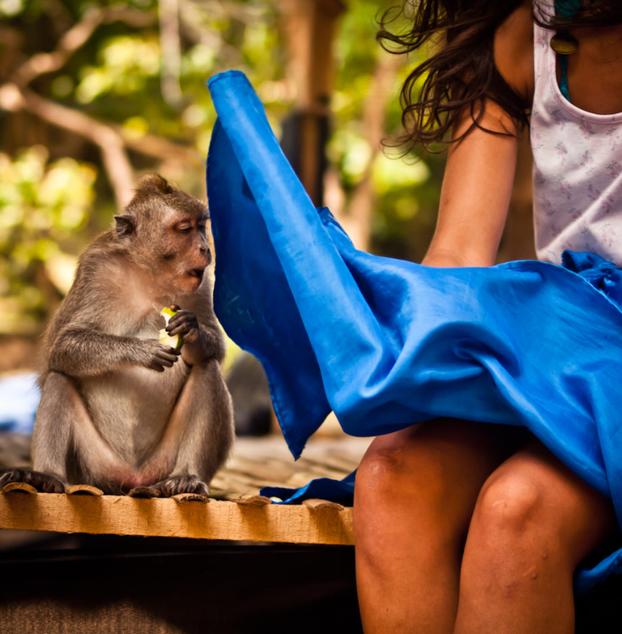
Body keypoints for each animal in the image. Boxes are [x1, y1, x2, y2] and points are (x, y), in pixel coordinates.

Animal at [0, 175, 234, 496]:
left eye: (201, 226)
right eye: (185, 228)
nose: (205, 249)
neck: (149, 275)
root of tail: (133, 479)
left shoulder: (201, 284)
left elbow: (216, 350)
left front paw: (192, 329)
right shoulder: (96, 270)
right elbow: (62, 346)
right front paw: (138, 350)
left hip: (161, 463)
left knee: (207, 369)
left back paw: (186, 476)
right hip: (94, 467)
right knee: (60, 379)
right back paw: (46, 476)